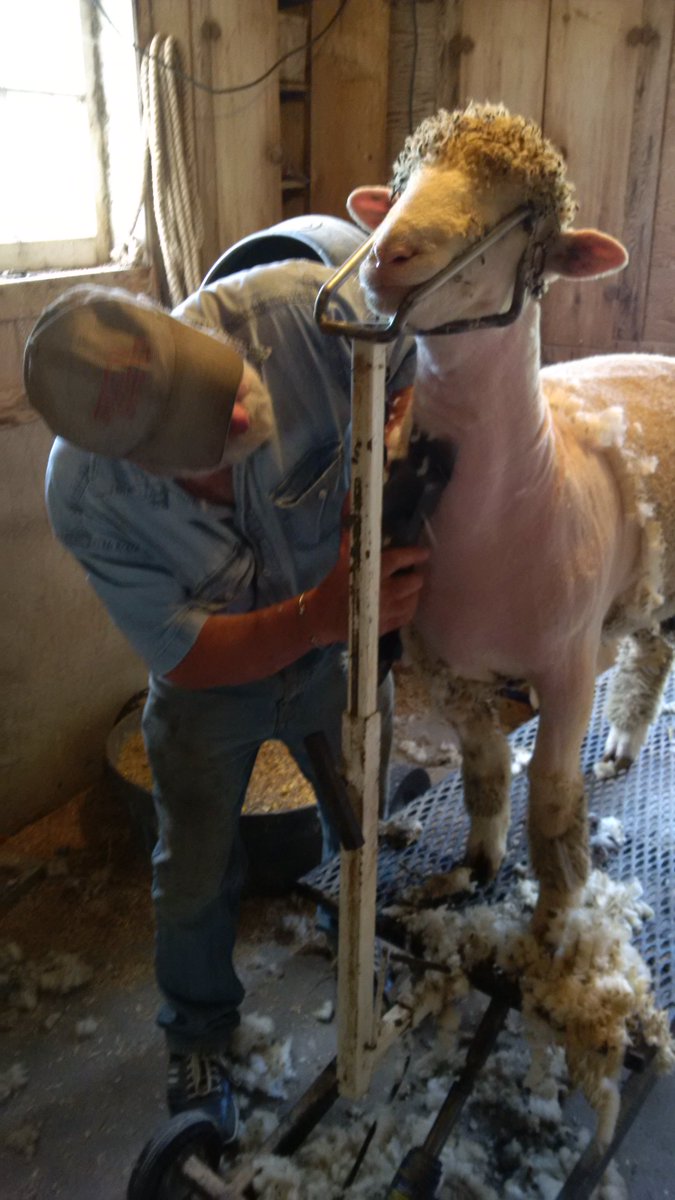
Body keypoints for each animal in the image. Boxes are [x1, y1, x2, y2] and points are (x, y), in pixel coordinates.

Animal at [346, 102, 675, 932]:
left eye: (519, 217)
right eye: (403, 177)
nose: (386, 253)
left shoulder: (566, 672)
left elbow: (551, 804)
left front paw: (552, 925)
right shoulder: (451, 671)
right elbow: (484, 778)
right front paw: (474, 868)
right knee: (653, 651)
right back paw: (622, 745)